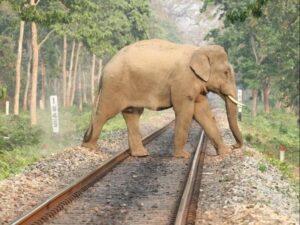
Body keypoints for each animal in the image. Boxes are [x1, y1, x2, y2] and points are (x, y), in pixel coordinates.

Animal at [82, 38, 244, 158]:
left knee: (132, 115)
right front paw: (182, 156)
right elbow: (185, 112)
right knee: (105, 113)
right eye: (226, 72)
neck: (198, 50)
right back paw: (89, 148)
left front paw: (225, 153)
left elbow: (203, 113)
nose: (234, 146)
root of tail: (104, 70)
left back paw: (141, 154)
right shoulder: (182, 81)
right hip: (114, 86)